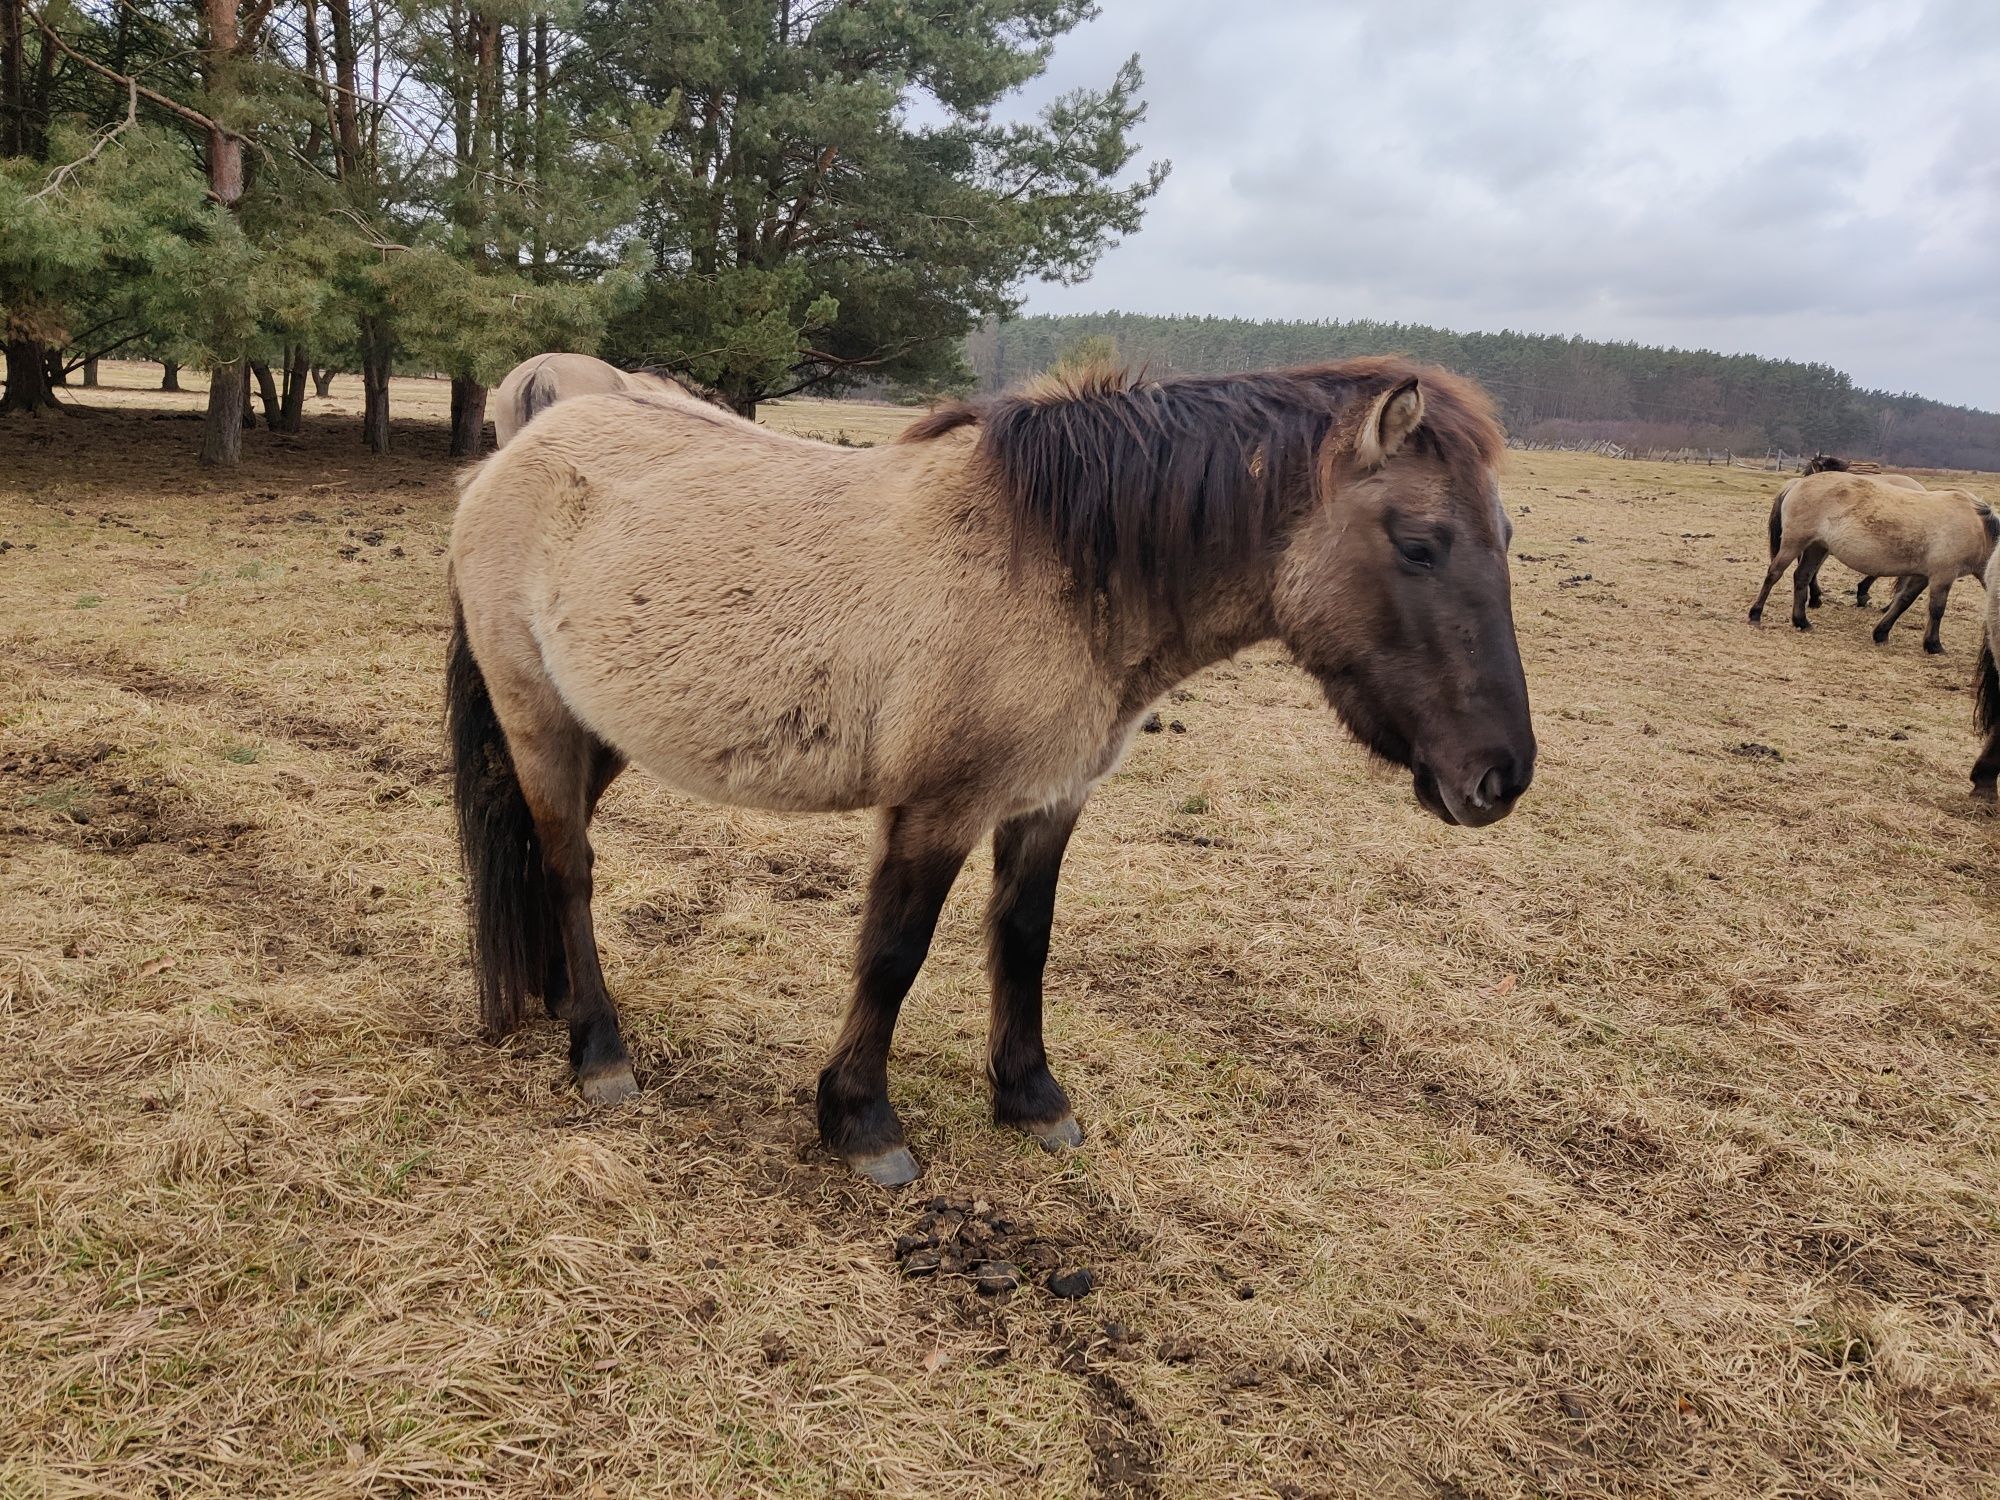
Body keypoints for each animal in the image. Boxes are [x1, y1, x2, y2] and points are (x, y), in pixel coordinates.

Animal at [1744, 472, 1992, 656]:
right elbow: (1937, 609)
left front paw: (1881, 633)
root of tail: (1798, 482)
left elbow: (1903, 601)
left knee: (1802, 577)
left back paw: (1802, 621)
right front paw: (1934, 645)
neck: (1978, 528)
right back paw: (1756, 615)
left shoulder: (1922, 576)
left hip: (1817, 548)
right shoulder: (1943, 576)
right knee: (1774, 574)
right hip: (1794, 543)